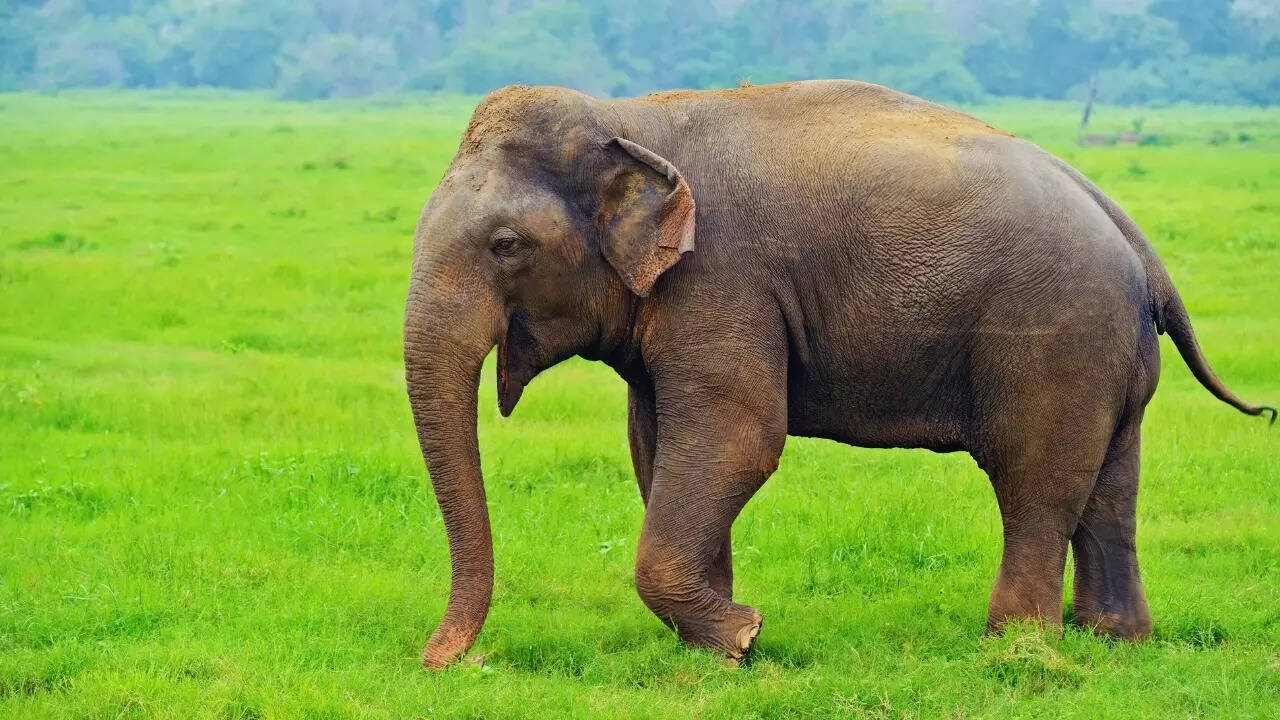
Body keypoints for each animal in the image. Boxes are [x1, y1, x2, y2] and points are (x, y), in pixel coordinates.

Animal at [403, 80, 1274, 668]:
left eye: (505, 246)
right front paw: (721, 644)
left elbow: (740, 439)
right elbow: (656, 444)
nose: (448, 662)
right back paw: (1115, 640)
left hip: (1056, 336)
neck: (631, 115)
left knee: (1035, 478)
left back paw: (1013, 647)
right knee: (1110, 484)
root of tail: (1131, 234)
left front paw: (743, 636)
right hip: (1110, 351)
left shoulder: (723, 278)